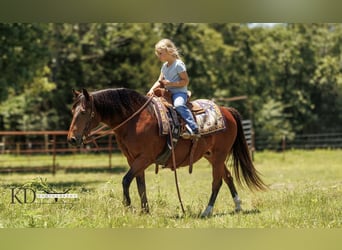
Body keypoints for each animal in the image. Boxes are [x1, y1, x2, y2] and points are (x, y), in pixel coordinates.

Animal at [67, 88, 268, 217]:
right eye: (72, 110)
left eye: (83, 111)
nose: (72, 139)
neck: (135, 120)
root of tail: (226, 111)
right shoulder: (133, 159)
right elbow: (140, 184)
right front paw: (145, 211)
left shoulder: (145, 158)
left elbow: (126, 180)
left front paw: (129, 208)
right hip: (211, 156)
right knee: (228, 177)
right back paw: (238, 207)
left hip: (219, 155)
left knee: (217, 181)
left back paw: (207, 211)